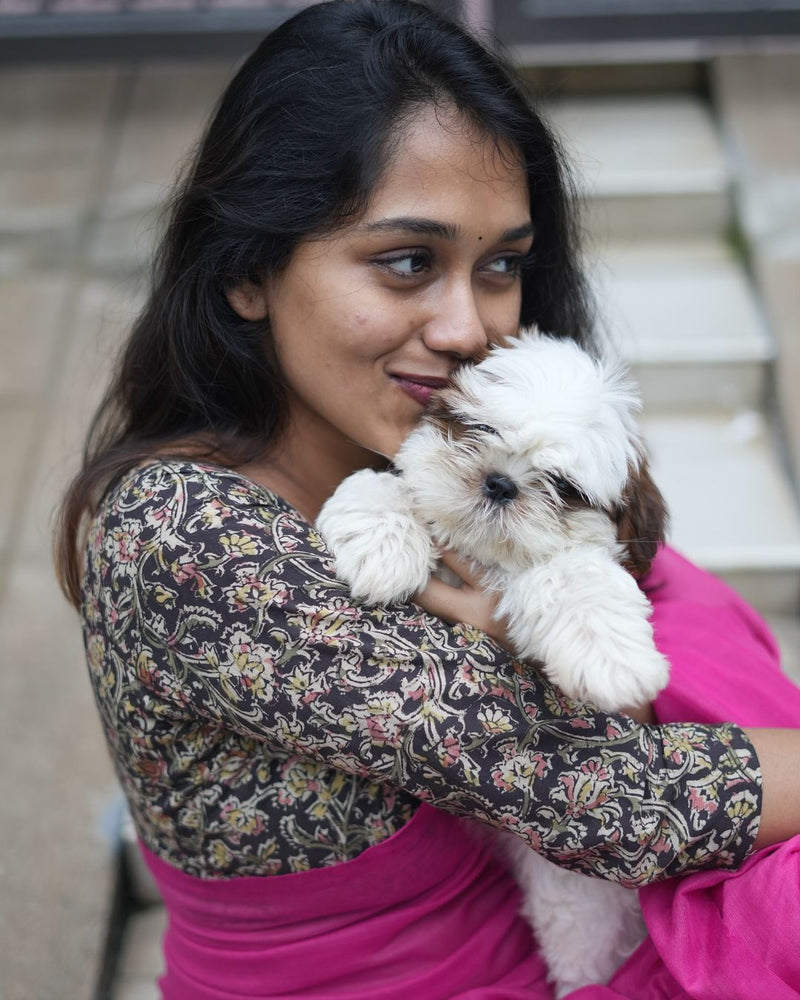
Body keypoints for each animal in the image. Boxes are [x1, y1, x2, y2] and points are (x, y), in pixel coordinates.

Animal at [316, 332, 672, 996]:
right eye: (477, 431)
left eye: (562, 485)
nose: (501, 482)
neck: (480, 557)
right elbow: (386, 486)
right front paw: (384, 547)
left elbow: (575, 575)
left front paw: (611, 653)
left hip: (577, 899)